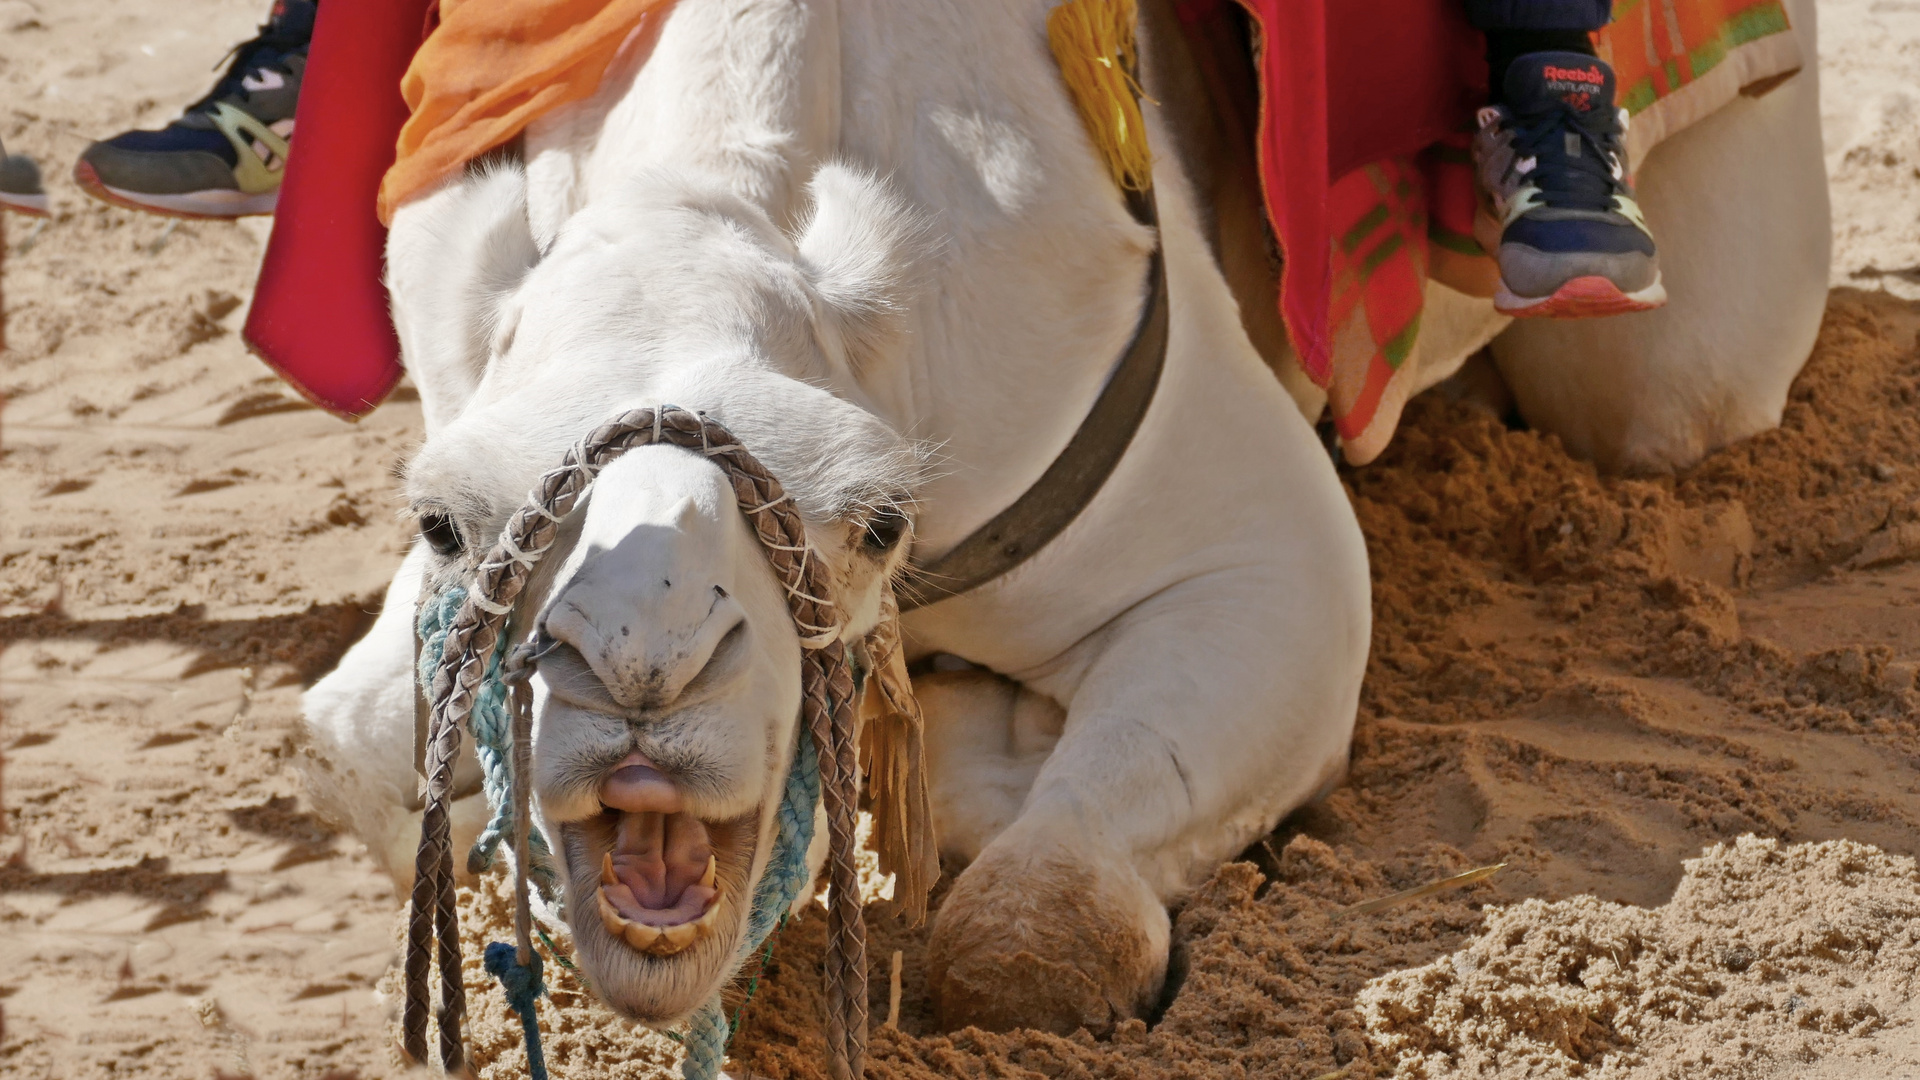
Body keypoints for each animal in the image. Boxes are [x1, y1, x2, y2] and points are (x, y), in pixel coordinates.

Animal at [299, 0, 1827, 1037]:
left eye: (874, 520)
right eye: (444, 523)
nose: (640, 674)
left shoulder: (1236, 529)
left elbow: (1038, 931)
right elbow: (363, 743)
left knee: (1673, 384)